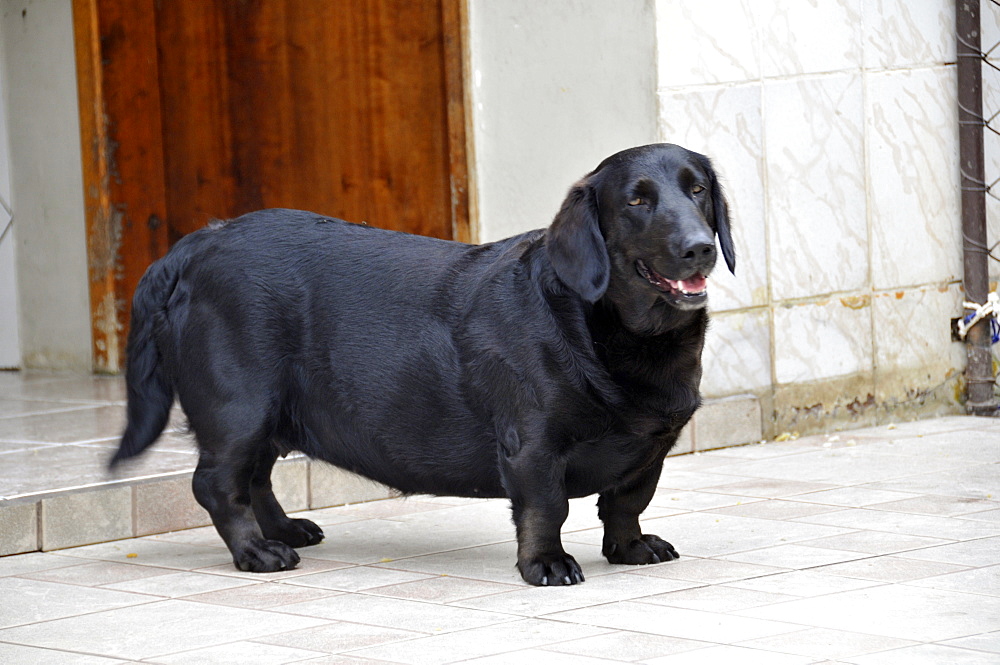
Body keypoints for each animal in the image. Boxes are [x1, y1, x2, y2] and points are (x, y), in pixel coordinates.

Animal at [111, 143, 736, 584]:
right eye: (636, 200)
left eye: (698, 189)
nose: (700, 247)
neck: (613, 333)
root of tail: (195, 245)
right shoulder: (532, 445)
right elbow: (546, 506)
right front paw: (545, 563)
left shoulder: (650, 446)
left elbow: (628, 501)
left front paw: (631, 548)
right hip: (239, 408)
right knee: (218, 483)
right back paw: (257, 551)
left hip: (267, 413)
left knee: (255, 476)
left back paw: (284, 529)